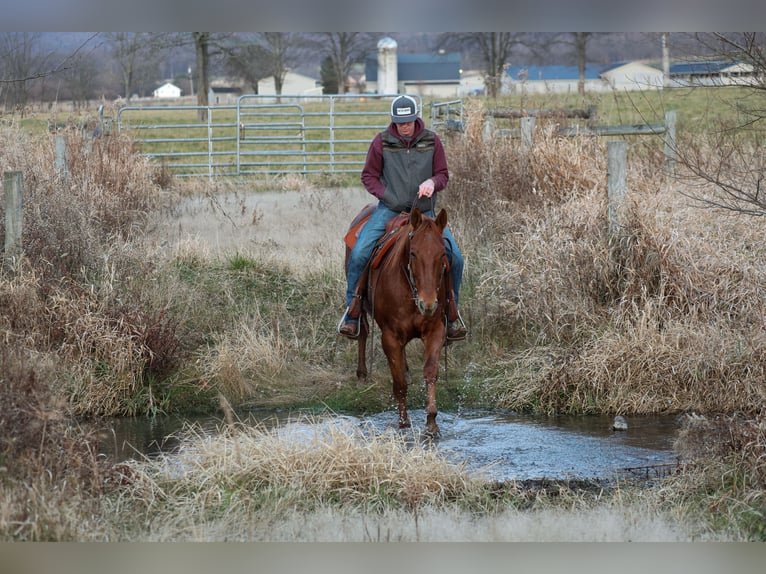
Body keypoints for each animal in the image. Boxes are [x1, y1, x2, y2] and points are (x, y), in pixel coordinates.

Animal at [344, 207, 450, 436]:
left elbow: (431, 372)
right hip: (361, 307)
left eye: (442, 254)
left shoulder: (436, 330)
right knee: (363, 332)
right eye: (413, 253)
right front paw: (403, 423)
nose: (428, 304)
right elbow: (398, 383)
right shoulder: (390, 337)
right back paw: (361, 375)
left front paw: (431, 422)